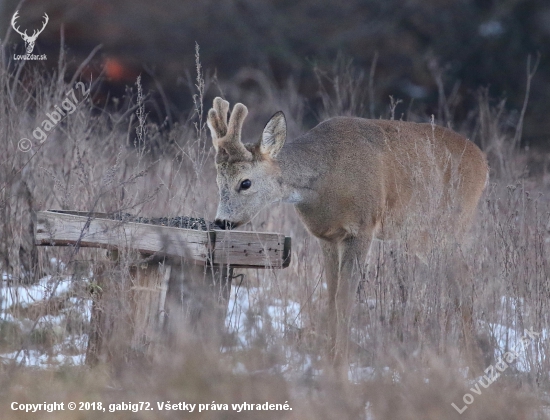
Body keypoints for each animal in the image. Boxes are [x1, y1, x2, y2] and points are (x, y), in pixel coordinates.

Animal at [209, 97, 490, 374]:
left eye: (245, 183)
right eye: (218, 182)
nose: (222, 221)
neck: (324, 181)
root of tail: (483, 162)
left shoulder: (362, 227)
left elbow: (345, 299)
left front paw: (341, 365)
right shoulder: (327, 236)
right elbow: (332, 298)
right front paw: (328, 361)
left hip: (453, 224)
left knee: (464, 281)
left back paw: (474, 361)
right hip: (422, 237)